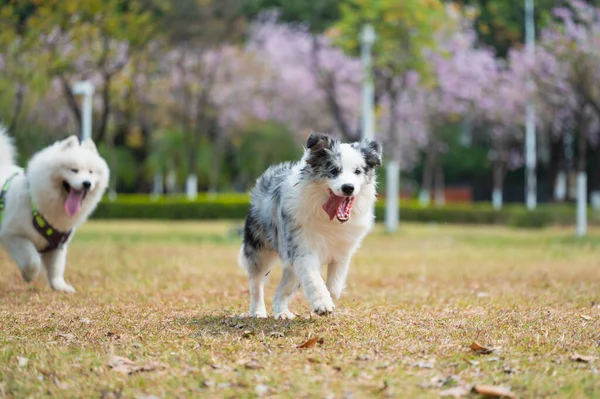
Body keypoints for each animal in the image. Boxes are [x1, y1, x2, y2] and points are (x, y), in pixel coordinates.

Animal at [0, 126, 109, 292]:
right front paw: (28, 275)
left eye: (91, 172)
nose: (87, 183)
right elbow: (33, 261)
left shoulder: (58, 245)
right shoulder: (13, 235)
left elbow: (56, 268)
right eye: (74, 170)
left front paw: (60, 286)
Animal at [238, 133, 382, 320]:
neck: (329, 218)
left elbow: (335, 285)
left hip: (291, 269)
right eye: (334, 170)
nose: (348, 188)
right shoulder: (302, 248)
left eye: (358, 171)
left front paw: (329, 297)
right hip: (260, 248)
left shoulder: (342, 252)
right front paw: (323, 304)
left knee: (281, 291)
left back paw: (282, 313)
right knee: (256, 282)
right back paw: (257, 311)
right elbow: (314, 279)